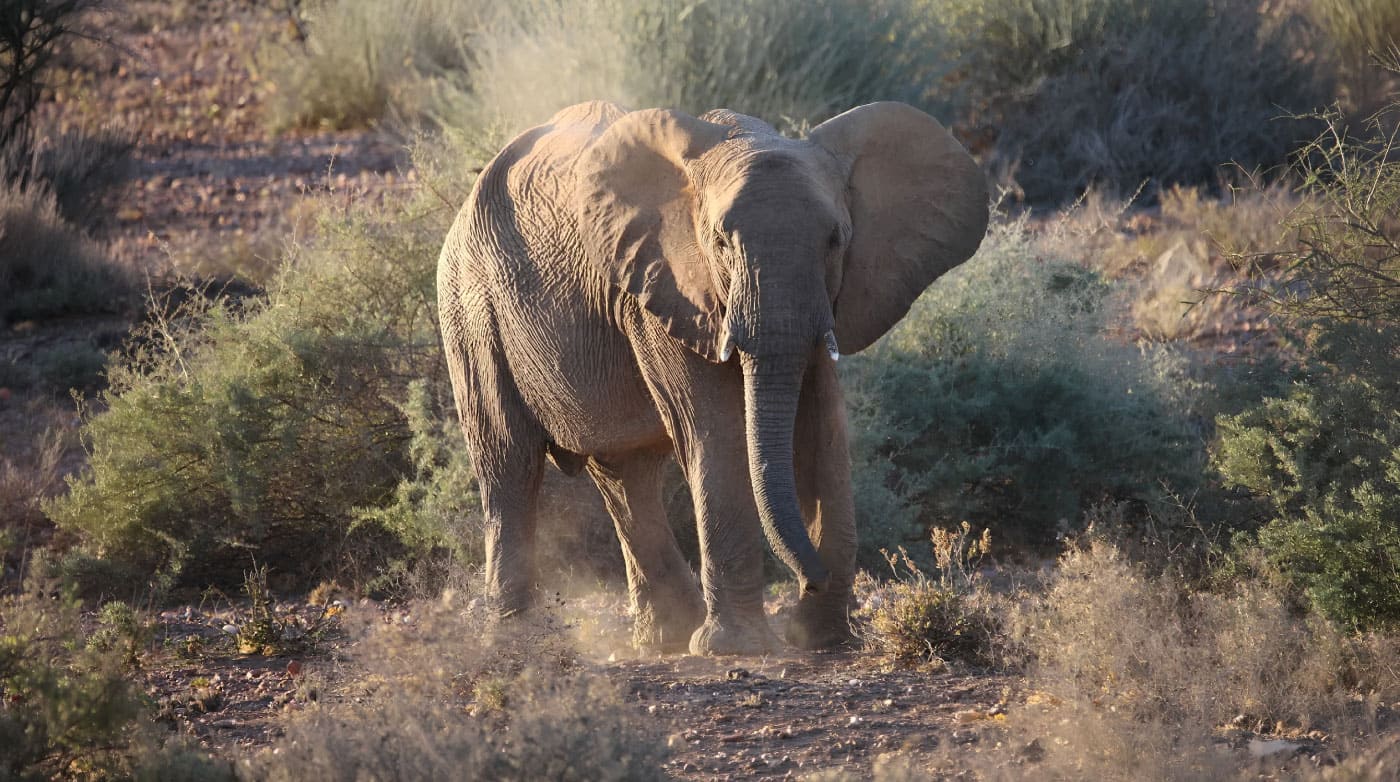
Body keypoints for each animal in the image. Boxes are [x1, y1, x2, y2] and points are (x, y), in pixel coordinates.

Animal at [436, 100, 988, 655]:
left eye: (835, 241)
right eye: (721, 242)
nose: (810, 578)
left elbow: (822, 434)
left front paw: (823, 639)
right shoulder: (664, 288)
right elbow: (717, 430)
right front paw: (737, 648)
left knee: (624, 473)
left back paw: (666, 638)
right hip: (469, 304)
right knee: (509, 462)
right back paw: (517, 641)